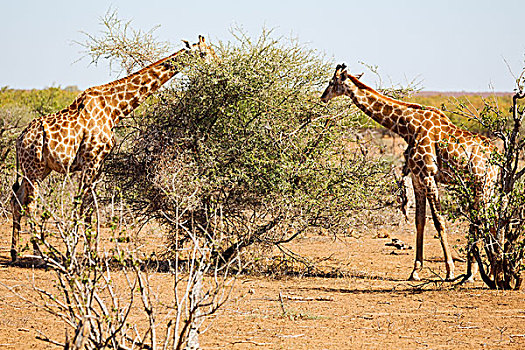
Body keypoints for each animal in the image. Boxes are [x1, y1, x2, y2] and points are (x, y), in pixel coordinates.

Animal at [11, 35, 217, 262]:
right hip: (34, 168)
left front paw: (91, 253)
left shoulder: (98, 164)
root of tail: (19, 140)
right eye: (204, 53)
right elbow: (80, 205)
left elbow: (89, 207)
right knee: (30, 204)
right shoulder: (90, 160)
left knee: (17, 200)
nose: (219, 67)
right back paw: (40, 255)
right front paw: (72, 252)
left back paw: (15, 253)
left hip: (38, 169)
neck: (114, 110)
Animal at [320, 63, 496, 282]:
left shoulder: (428, 174)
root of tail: (496, 155)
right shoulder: (416, 177)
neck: (408, 127)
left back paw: (476, 272)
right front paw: (415, 271)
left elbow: (439, 221)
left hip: (482, 184)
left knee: (483, 220)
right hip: (485, 186)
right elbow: (419, 221)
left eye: (332, 82)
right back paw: (480, 271)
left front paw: (449, 270)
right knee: (486, 219)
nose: (323, 97)